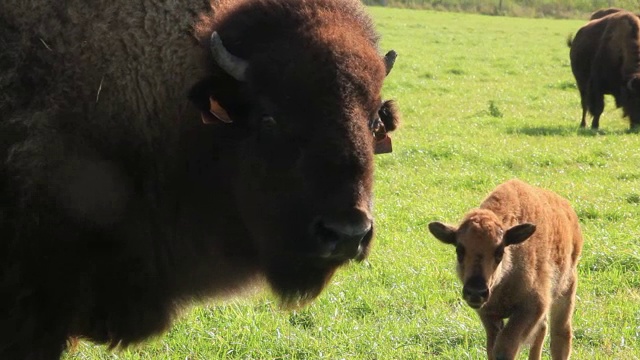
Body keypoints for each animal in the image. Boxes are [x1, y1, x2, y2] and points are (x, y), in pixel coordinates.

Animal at [428, 180, 584, 360]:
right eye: (459, 250)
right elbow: (493, 347)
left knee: (560, 335)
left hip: (566, 289)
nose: (475, 291)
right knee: (542, 330)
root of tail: (568, 210)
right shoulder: (489, 314)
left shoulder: (531, 307)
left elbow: (505, 347)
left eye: (499, 251)